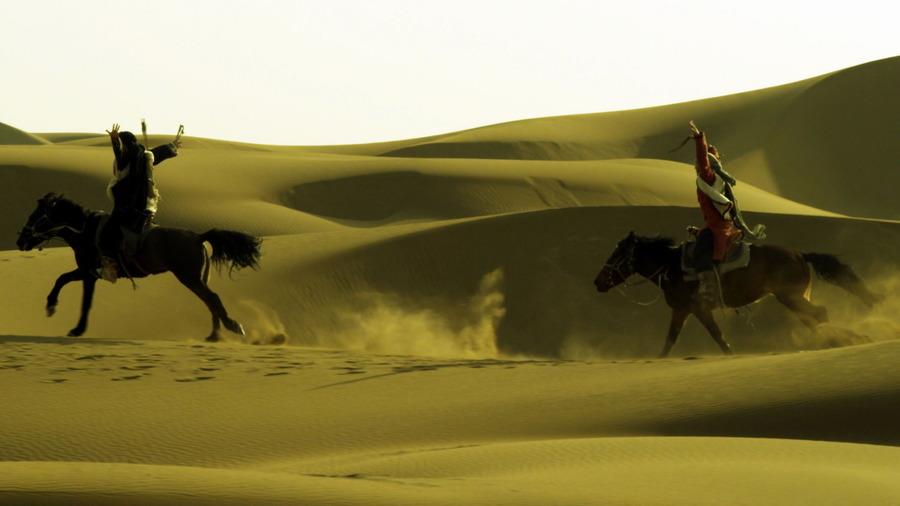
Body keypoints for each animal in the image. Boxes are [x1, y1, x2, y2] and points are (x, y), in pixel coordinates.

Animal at [14, 193, 260, 340]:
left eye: (38, 216)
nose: (20, 241)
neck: (85, 230)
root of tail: (199, 236)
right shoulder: (87, 272)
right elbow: (62, 278)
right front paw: (51, 305)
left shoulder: (89, 273)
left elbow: (84, 301)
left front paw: (77, 328)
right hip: (198, 278)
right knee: (210, 301)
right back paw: (214, 334)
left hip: (189, 277)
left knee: (213, 299)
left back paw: (232, 327)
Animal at [596, 231, 884, 358]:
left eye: (616, 256)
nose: (597, 282)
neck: (671, 265)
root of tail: (801, 255)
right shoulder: (682, 310)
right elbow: (670, 340)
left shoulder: (698, 309)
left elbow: (717, 336)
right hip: (794, 297)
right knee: (812, 317)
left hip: (788, 296)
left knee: (818, 314)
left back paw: (836, 340)